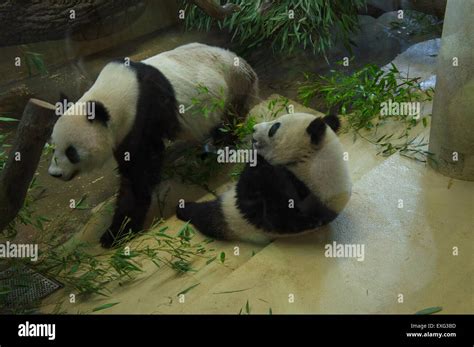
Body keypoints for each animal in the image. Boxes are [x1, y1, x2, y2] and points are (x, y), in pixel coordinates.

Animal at [48, 43, 260, 249]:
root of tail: (245, 64)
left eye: (71, 152)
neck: (113, 93)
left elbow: (141, 170)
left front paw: (118, 232)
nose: (54, 174)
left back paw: (219, 145)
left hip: (233, 87)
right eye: (54, 147)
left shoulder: (143, 113)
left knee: (229, 121)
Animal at [177, 113, 352, 243]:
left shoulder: (297, 198)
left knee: (205, 216)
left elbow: (256, 204)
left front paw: (257, 155)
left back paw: (183, 208)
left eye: (274, 128)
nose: (254, 128)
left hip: (229, 217)